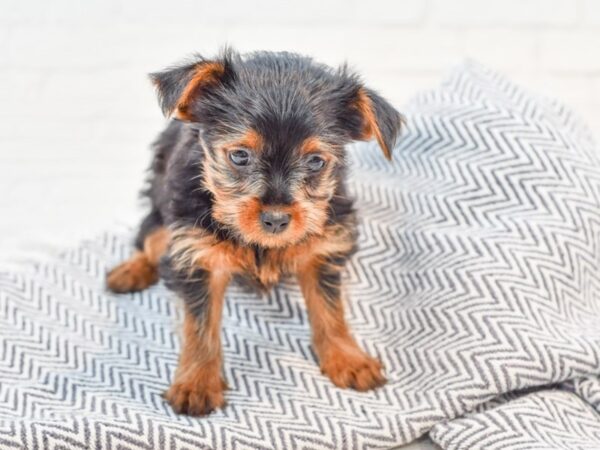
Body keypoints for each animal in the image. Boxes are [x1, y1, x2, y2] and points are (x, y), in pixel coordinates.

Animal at [107, 48, 404, 414]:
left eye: (316, 162)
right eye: (239, 156)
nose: (276, 219)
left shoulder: (323, 247)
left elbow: (330, 309)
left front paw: (348, 358)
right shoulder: (198, 254)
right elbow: (200, 326)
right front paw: (196, 383)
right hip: (163, 200)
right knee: (150, 237)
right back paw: (129, 271)